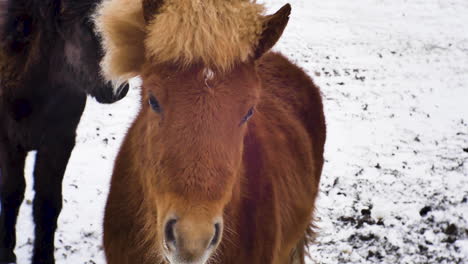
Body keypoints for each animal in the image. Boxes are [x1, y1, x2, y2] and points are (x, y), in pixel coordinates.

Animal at [0, 1, 128, 262]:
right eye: (86, 23)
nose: (119, 88)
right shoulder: (9, 142)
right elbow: (11, 193)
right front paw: (6, 252)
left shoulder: (59, 142)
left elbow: (48, 204)